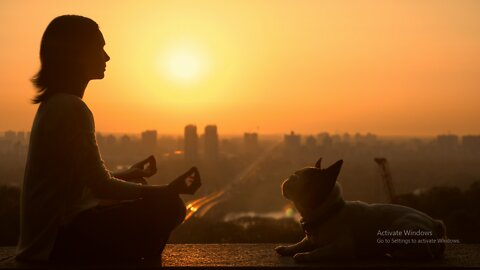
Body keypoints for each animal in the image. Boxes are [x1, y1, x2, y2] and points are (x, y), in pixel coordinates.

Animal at [276, 158, 448, 262]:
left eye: (306, 181)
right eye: (294, 175)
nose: (290, 178)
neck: (327, 212)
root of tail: (436, 223)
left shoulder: (342, 246)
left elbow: (321, 251)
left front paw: (305, 255)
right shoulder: (309, 239)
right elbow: (300, 243)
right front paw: (287, 248)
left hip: (400, 227)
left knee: (425, 253)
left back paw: (396, 254)